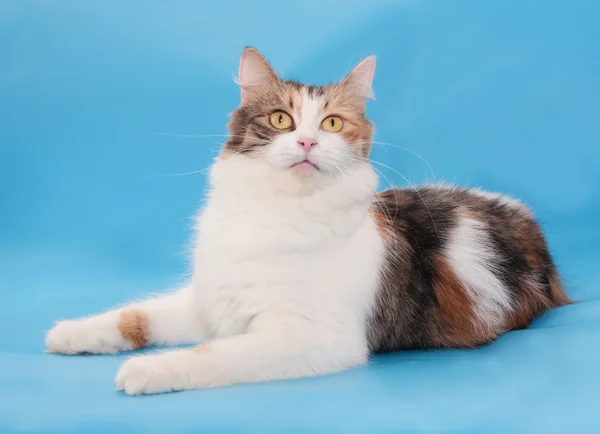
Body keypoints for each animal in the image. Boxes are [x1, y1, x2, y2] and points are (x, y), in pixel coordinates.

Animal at [44, 46, 568, 394]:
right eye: (281, 120)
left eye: (332, 123)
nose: (308, 142)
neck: (278, 209)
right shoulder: (213, 303)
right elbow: (134, 315)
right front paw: (70, 333)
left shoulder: (312, 336)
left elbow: (212, 354)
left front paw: (149, 370)